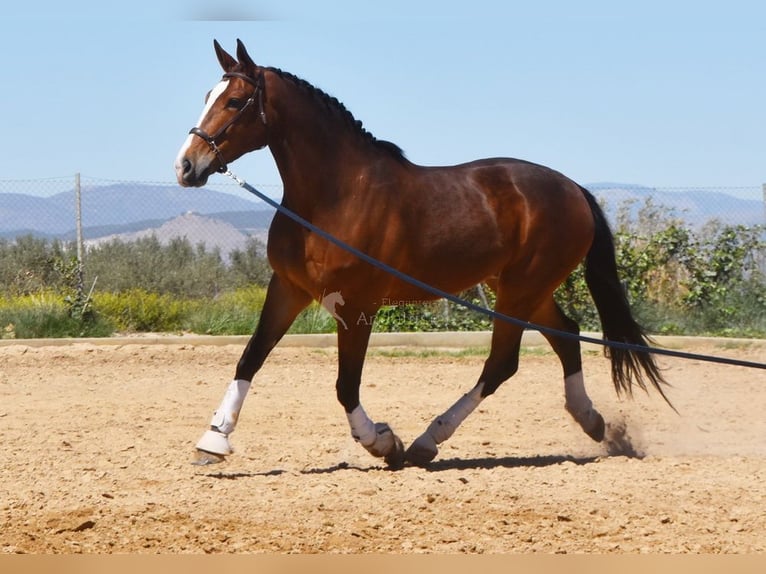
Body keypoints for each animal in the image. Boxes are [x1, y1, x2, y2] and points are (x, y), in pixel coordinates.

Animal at [176, 39, 672, 472]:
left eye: (235, 101)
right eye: (207, 96)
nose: (185, 165)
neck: (335, 196)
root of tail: (574, 189)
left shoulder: (357, 305)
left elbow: (346, 385)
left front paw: (383, 442)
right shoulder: (289, 289)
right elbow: (250, 358)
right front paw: (212, 441)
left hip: (521, 291)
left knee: (501, 364)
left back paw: (426, 441)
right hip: (522, 288)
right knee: (565, 335)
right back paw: (593, 423)